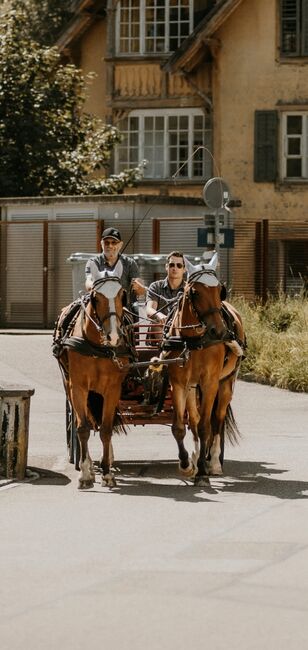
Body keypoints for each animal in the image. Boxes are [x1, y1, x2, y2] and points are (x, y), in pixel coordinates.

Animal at [55, 258, 132, 486]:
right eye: (96, 297)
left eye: (122, 295)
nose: (114, 336)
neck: (98, 347)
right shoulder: (78, 387)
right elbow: (83, 428)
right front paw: (86, 473)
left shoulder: (112, 389)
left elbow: (106, 429)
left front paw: (107, 471)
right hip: (71, 386)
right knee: (85, 421)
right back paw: (86, 464)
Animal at [164, 253, 245, 486]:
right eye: (195, 292)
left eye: (220, 290)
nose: (218, 331)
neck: (194, 341)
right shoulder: (178, 383)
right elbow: (181, 426)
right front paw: (186, 464)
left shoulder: (210, 383)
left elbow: (205, 426)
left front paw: (202, 471)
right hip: (192, 387)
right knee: (194, 419)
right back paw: (198, 456)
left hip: (226, 383)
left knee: (216, 419)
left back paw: (214, 462)